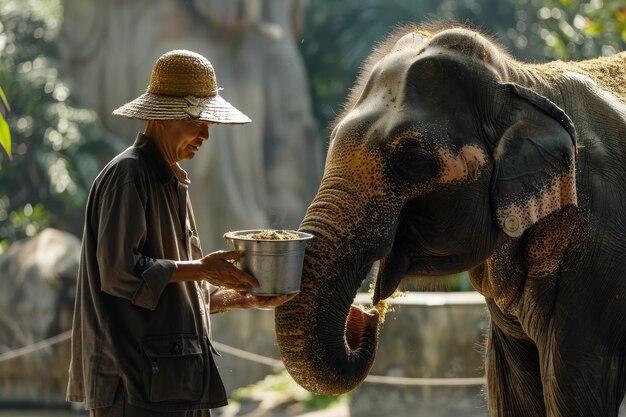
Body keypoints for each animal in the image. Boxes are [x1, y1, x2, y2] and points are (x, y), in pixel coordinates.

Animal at [274, 24, 624, 414]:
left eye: (413, 160)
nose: (366, 314)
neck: (521, 80)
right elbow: (513, 389)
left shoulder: (598, 257)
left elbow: (573, 387)